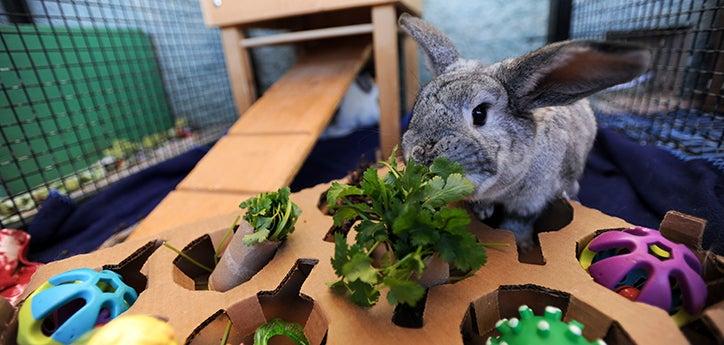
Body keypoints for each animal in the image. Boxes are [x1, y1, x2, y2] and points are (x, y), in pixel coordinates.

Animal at [398, 14, 652, 249]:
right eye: (418, 106)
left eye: (480, 114)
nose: (421, 156)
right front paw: (483, 212)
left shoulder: (529, 203)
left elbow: (517, 223)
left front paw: (522, 244)